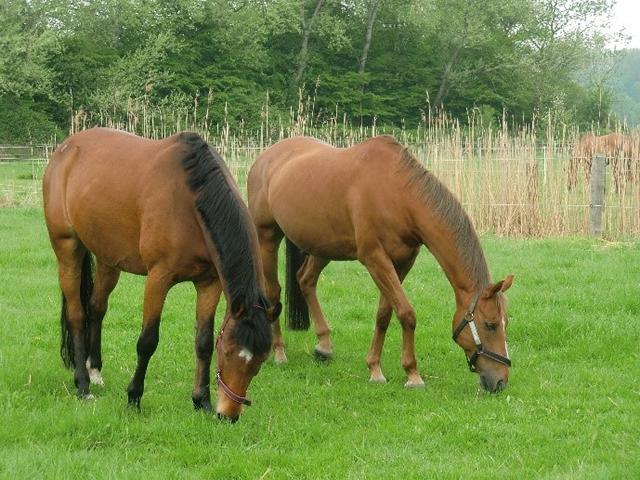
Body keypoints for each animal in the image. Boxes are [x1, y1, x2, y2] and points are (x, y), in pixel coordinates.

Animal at [42, 127, 278, 420]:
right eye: (229, 351)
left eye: (259, 360)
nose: (228, 415)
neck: (189, 201)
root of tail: (65, 149)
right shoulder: (158, 279)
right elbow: (147, 341)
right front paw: (134, 397)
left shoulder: (209, 283)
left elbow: (203, 341)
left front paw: (201, 400)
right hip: (67, 248)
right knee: (77, 315)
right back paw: (83, 385)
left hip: (108, 259)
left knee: (96, 308)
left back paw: (94, 370)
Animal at [249, 136, 516, 394]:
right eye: (490, 325)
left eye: (505, 323)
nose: (501, 381)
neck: (397, 194)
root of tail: (264, 158)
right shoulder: (375, 259)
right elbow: (406, 313)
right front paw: (413, 374)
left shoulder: (403, 262)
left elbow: (384, 314)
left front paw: (375, 368)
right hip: (267, 236)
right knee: (273, 292)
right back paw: (279, 351)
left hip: (323, 246)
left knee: (305, 280)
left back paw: (324, 345)